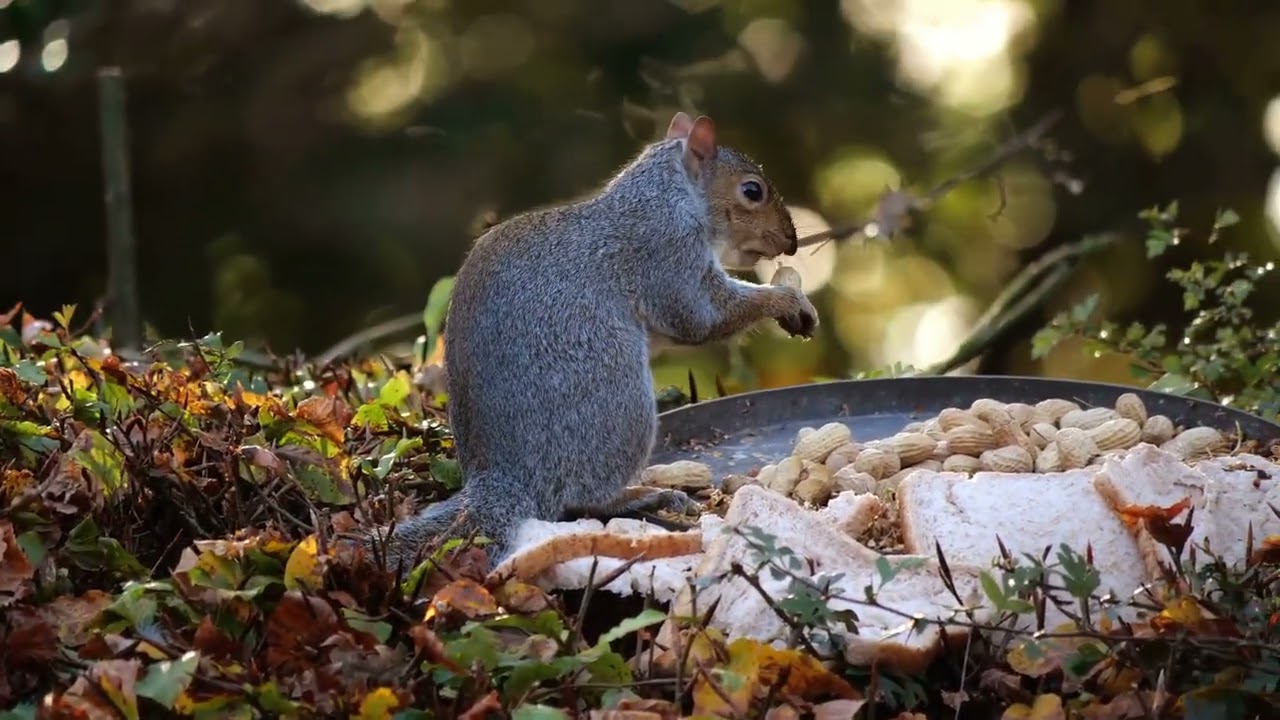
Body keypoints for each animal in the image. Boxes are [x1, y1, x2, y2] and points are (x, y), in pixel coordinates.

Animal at [369, 111, 818, 573]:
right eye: (752, 190)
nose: (791, 241)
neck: (664, 194)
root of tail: (508, 477)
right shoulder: (667, 253)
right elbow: (702, 317)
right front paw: (787, 300)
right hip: (617, 404)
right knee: (583, 496)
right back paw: (643, 496)